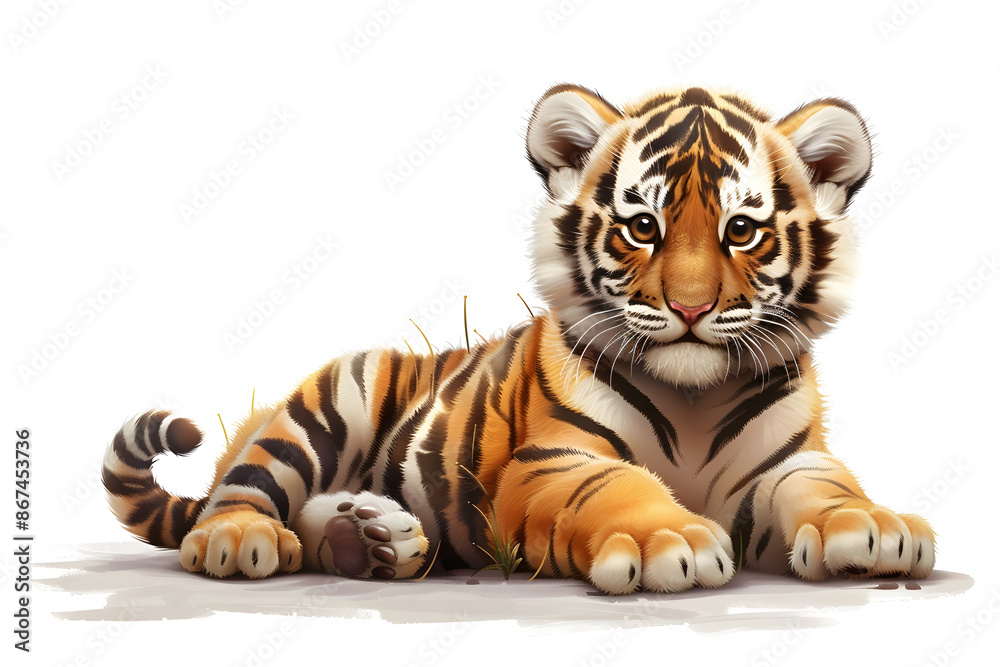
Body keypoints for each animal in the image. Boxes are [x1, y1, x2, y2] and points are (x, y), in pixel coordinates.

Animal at [103, 84, 935, 595]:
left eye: (741, 231)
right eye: (643, 226)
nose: (691, 306)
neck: (695, 394)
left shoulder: (789, 461)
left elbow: (827, 487)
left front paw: (875, 529)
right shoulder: (551, 461)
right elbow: (618, 485)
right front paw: (668, 538)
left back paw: (364, 539)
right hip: (329, 401)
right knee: (243, 488)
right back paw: (242, 539)